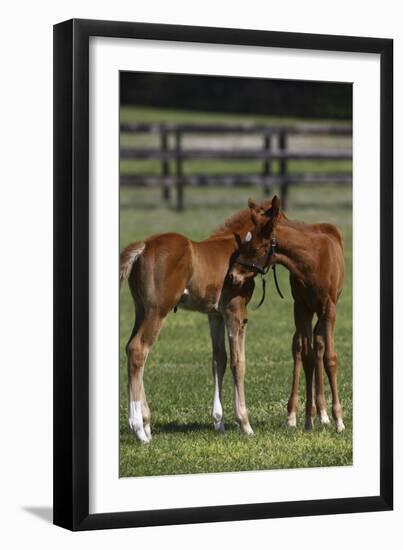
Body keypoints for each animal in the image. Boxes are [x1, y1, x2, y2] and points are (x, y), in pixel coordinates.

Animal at [118, 205, 274, 446]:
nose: (234, 276)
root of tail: (143, 246)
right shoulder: (236, 313)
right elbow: (238, 362)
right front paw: (245, 425)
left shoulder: (215, 315)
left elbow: (219, 359)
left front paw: (219, 423)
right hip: (157, 311)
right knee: (138, 349)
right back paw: (139, 430)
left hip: (141, 310)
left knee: (131, 349)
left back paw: (146, 424)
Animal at [229, 196, 346, 434]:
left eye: (255, 248)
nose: (233, 276)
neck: (311, 261)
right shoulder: (301, 307)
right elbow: (307, 356)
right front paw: (308, 419)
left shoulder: (329, 308)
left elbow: (329, 358)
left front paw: (338, 420)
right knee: (302, 348)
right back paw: (304, 414)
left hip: (323, 312)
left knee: (320, 345)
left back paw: (325, 414)